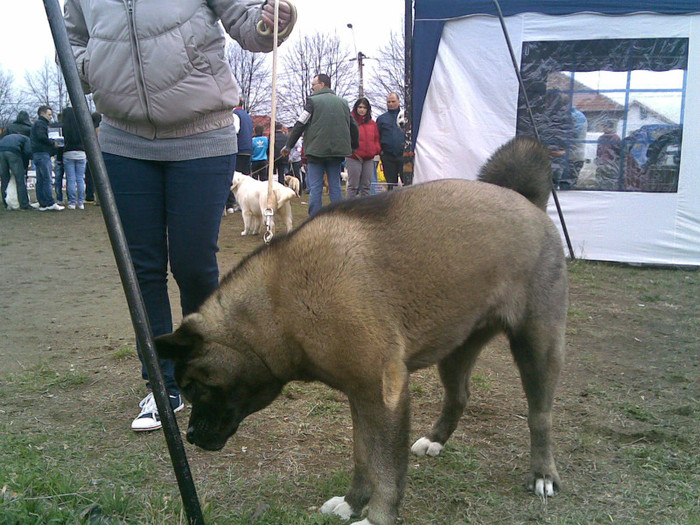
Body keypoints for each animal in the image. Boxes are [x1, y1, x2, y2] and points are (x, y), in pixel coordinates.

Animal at [156, 136, 568, 524]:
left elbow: (386, 467)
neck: (281, 300)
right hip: (456, 347)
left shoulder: (384, 395)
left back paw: (543, 474)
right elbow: (363, 456)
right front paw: (353, 502)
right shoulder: (361, 395)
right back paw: (435, 441)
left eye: (194, 387)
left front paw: (377, 516)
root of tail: (526, 202)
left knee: (540, 416)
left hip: (538, 345)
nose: (188, 437)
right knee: (459, 395)